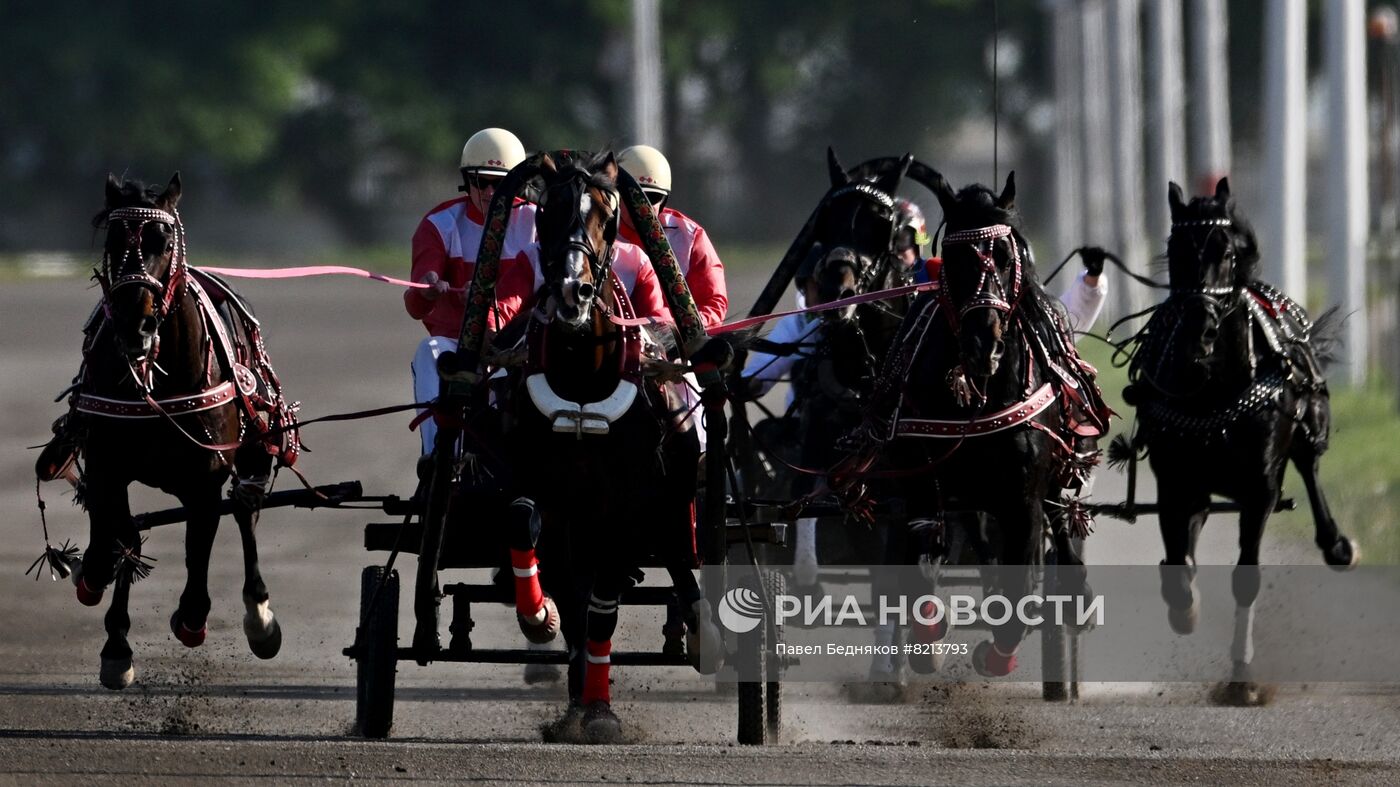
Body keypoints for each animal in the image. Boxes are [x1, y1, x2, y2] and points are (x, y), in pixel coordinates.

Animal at [36, 172, 296, 686]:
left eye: (165, 240)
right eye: (114, 242)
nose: (136, 325)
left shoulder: (204, 480)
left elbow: (198, 548)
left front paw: (192, 618)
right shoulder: (107, 465)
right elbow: (119, 537)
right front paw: (112, 634)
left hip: (253, 436)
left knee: (246, 509)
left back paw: (259, 617)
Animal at [834, 170, 1108, 674]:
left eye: (1005, 256)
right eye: (957, 259)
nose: (986, 343)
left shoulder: (1023, 497)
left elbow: (1024, 584)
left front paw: (998, 653)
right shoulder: (924, 481)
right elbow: (922, 564)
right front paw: (928, 639)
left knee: (1060, 519)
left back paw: (1074, 594)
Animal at [1114, 179, 1355, 705]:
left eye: (1225, 252)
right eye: (1174, 250)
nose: (1198, 330)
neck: (1213, 388)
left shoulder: (1259, 488)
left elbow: (1246, 577)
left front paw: (1242, 679)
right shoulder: (1175, 484)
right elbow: (1176, 564)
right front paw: (1185, 609)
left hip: (1308, 428)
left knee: (1311, 469)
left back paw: (1336, 545)